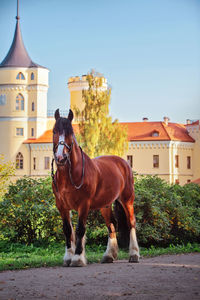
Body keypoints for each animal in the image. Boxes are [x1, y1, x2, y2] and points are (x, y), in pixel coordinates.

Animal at [51, 108, 139, 268]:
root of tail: (124, 163)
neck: (69, 176)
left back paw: (134, 254)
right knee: (111, 225)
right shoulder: (61, 206)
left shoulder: (83, 204)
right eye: (55, 131)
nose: (61, 158)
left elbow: (80, 230)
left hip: (127, 200)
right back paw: (109, 255)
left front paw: (78, 258)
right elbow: (67, 230)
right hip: (105, 205)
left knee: (131, 223)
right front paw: (68, 257)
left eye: (70, 133)